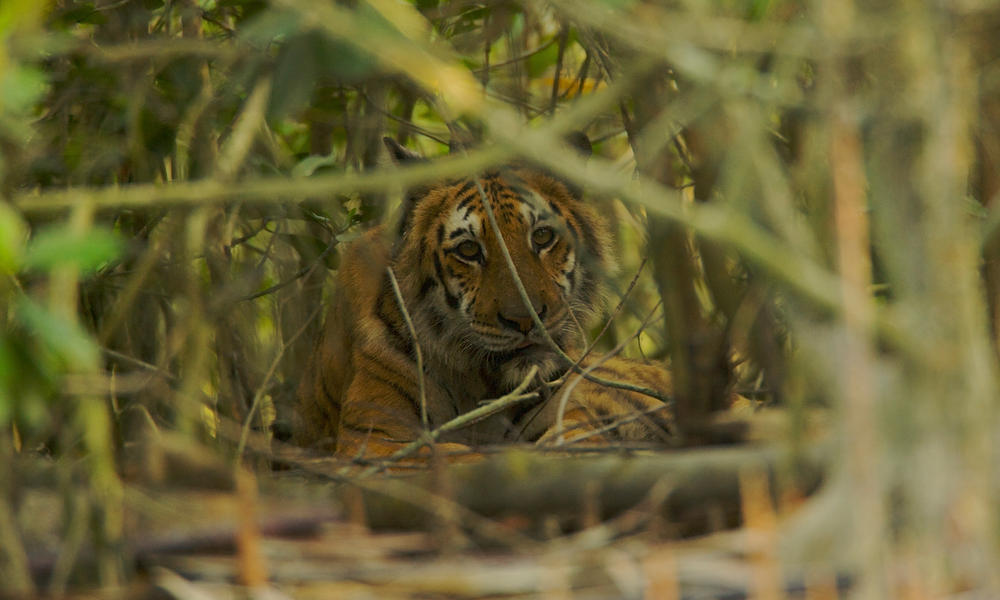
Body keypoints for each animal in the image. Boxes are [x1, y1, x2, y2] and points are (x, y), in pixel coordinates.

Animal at [294, 137, 672, 460]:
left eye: (542, 236)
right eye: (468, 250)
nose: (525, 319)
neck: (479, 382)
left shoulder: (571, 420)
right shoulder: (378, 438)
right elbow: (460, 456)